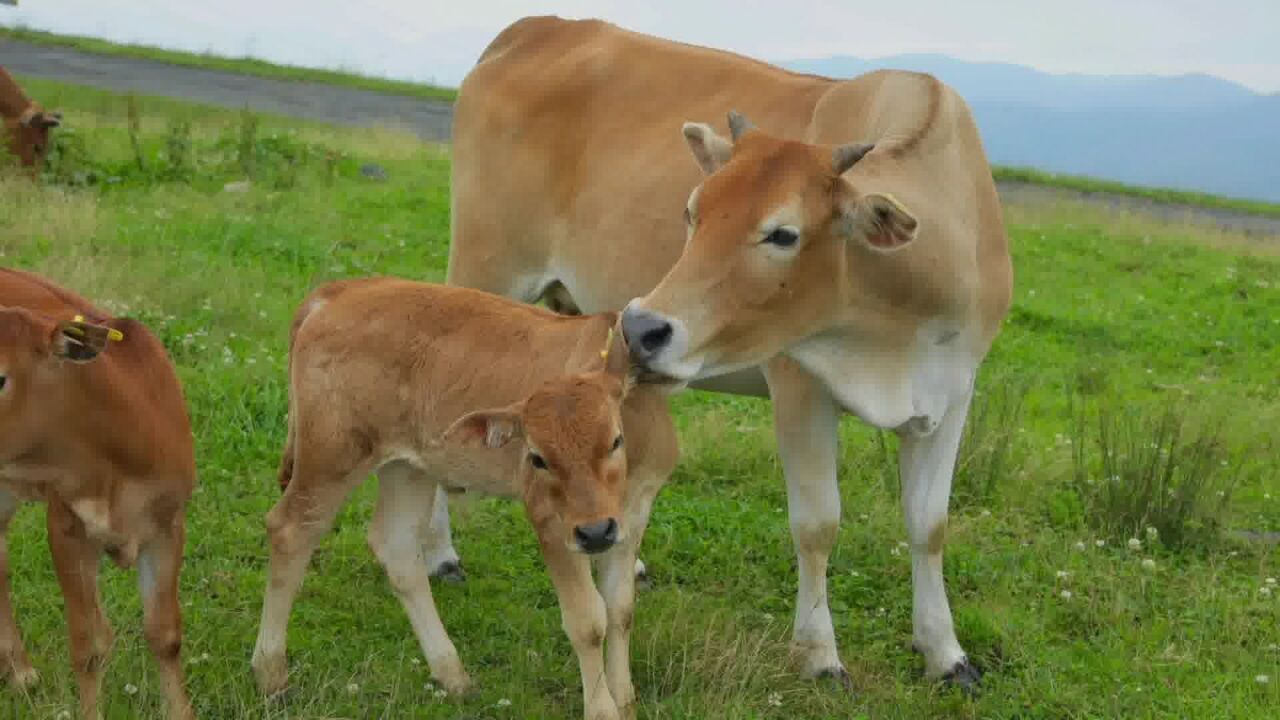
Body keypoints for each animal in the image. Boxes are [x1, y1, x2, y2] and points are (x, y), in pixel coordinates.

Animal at [248, 275, 680, 717]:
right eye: (537, 458)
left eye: (615, 441)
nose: (593, 533)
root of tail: (339, 292)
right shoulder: (551, 520)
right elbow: (588, 620)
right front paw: (603, 708)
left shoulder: (633, 514)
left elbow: (620, 608)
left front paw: (625, 697)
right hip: (332, 456)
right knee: (290, 530)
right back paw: (271, 672)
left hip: (408, 467)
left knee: (396, 547)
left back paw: (452, 674)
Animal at [445, 16, 1013, 686]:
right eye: (692, 212)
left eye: (783, 233)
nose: (640, 328)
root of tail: (540, 27)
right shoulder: (798, 383)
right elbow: (818, 524)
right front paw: (820, 654)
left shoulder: (952, 392)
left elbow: (929, 526)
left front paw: (945, 652)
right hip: (486, 270)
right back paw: (439, 557)